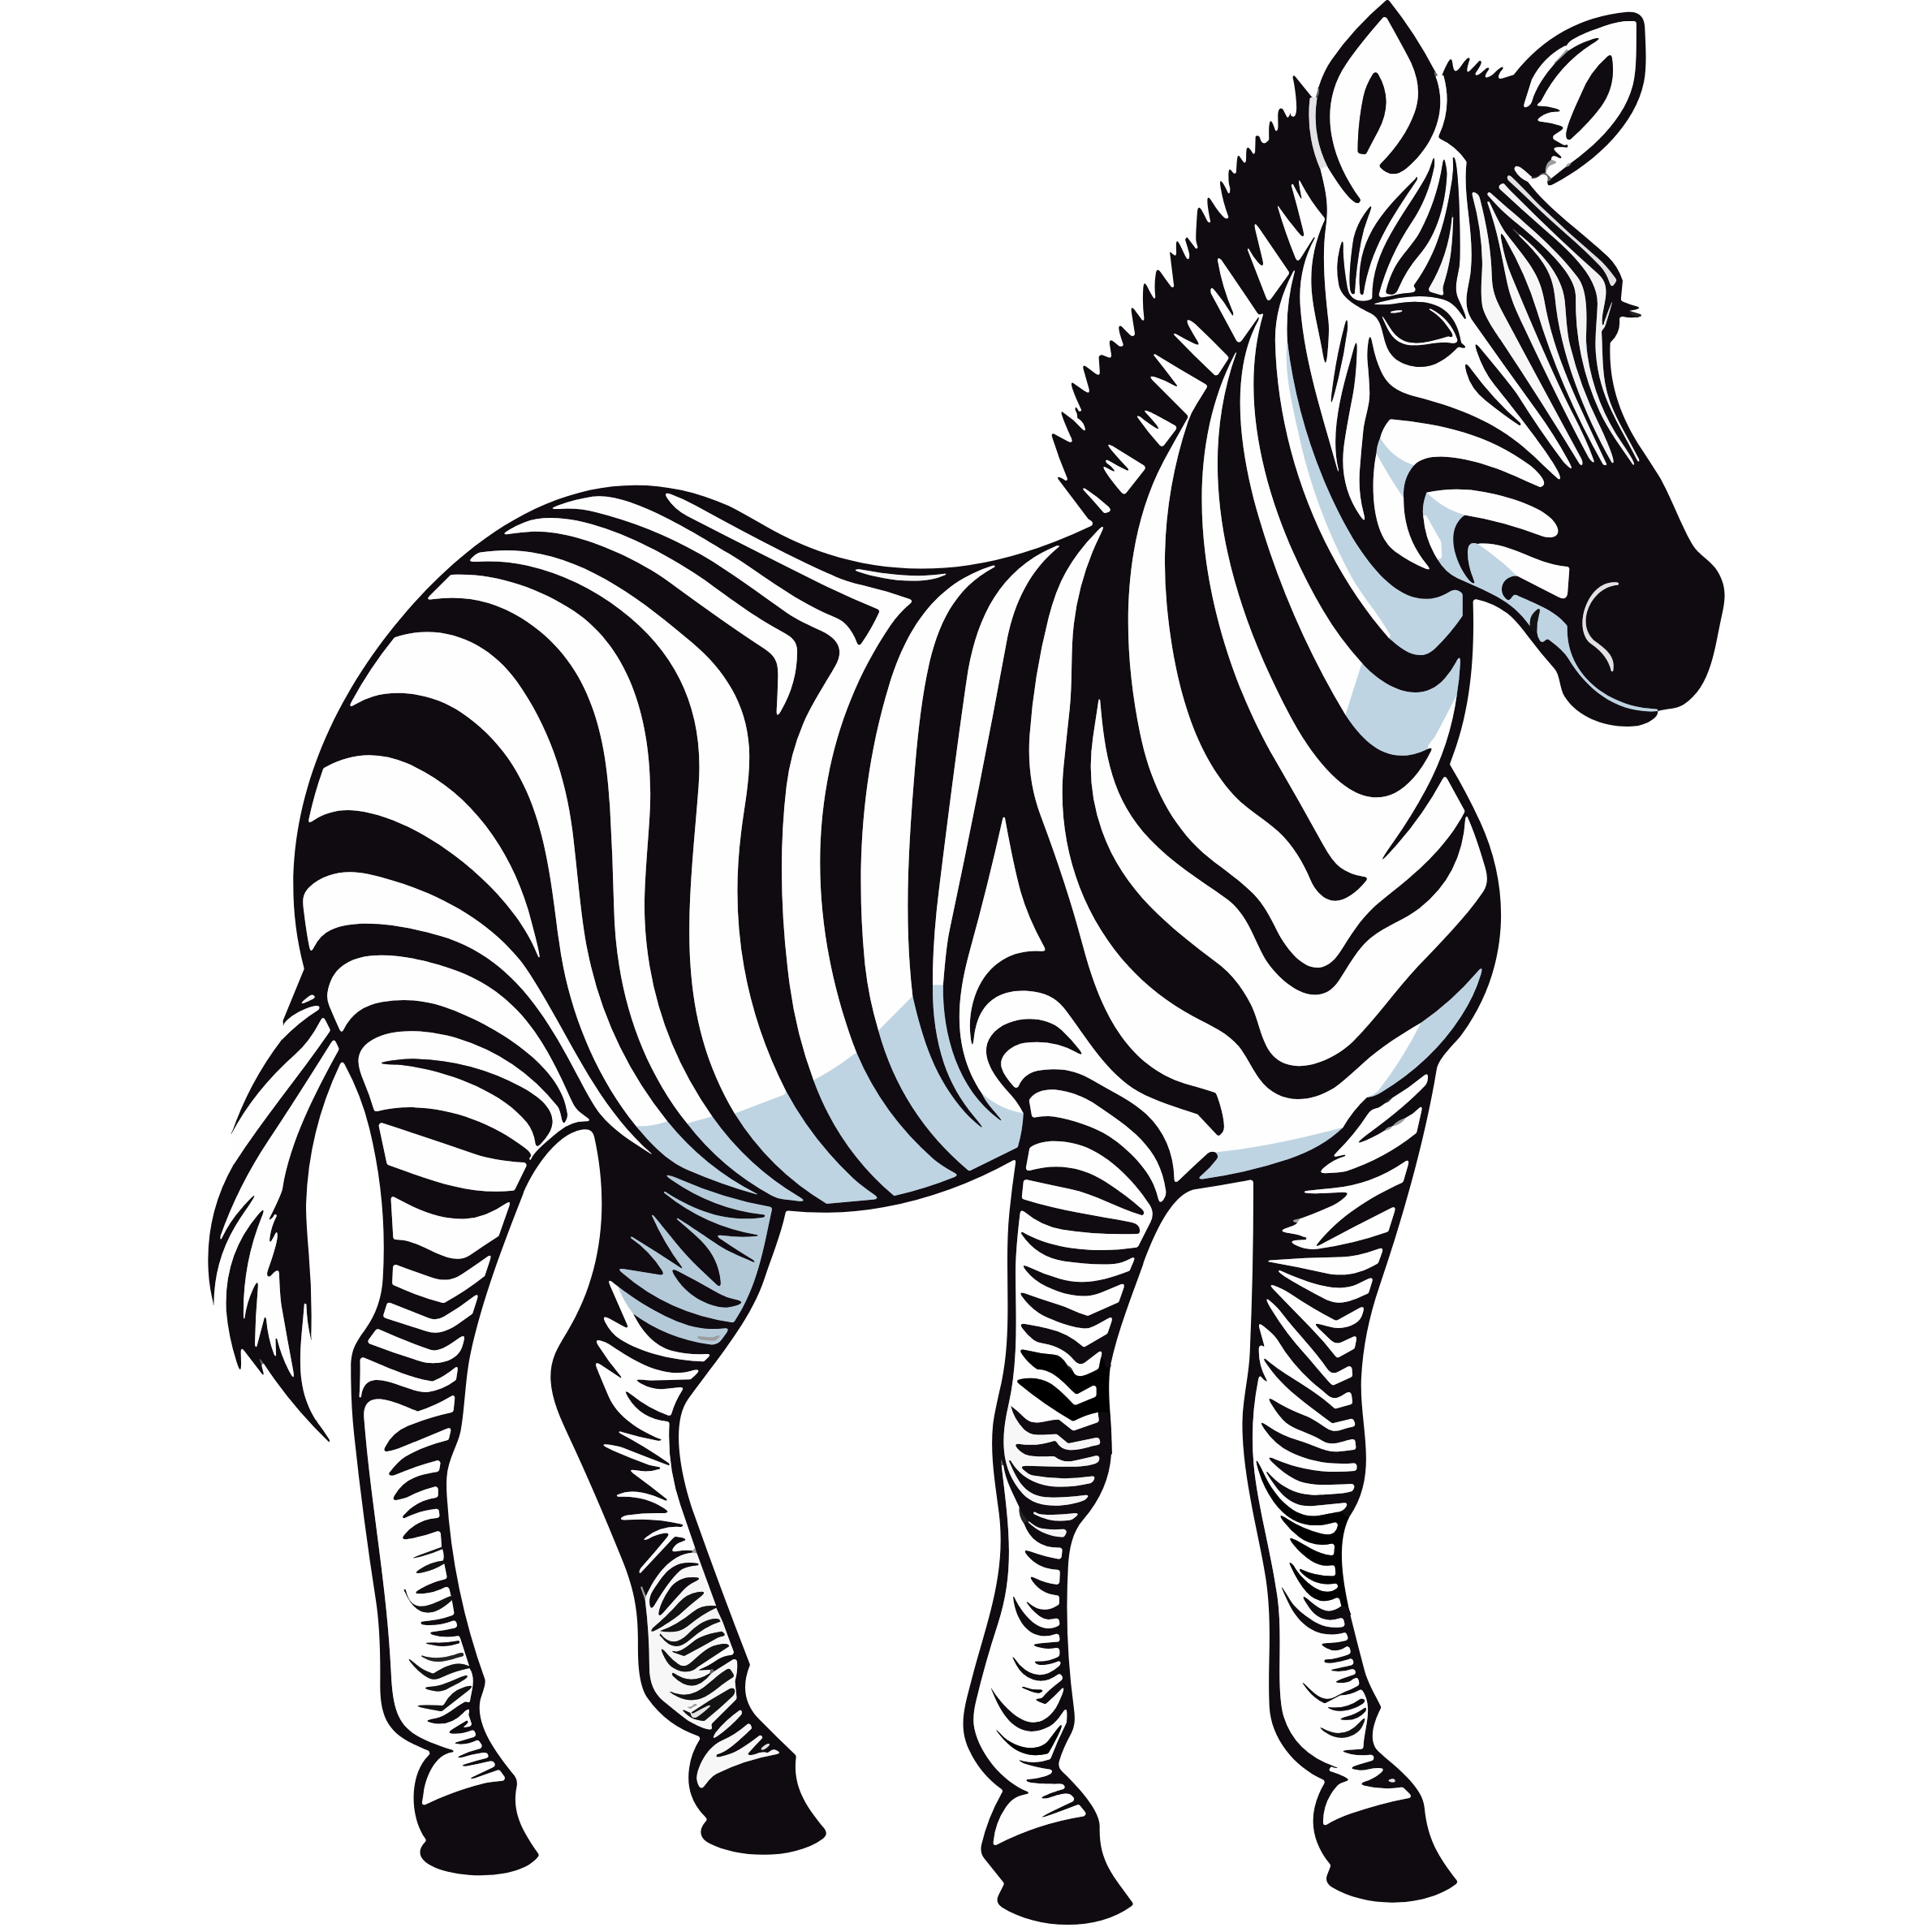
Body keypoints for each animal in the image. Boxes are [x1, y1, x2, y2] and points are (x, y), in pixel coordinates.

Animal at [208, 7, 1719, 1915]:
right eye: (1418, 328)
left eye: (1614, 320)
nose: (1667, 629)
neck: (1332, 780)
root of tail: (482, 570)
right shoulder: (1092, 1130)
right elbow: (1051, 1448)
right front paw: (1041, 1798)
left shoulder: (1370, 1134)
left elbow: (1308, 1453)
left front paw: (1362, 1783)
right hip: (449, 1067)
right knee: (406, 1385)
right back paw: (466, 1769)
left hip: (692, 1135)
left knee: (610, 1377)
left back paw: (738, 1754)